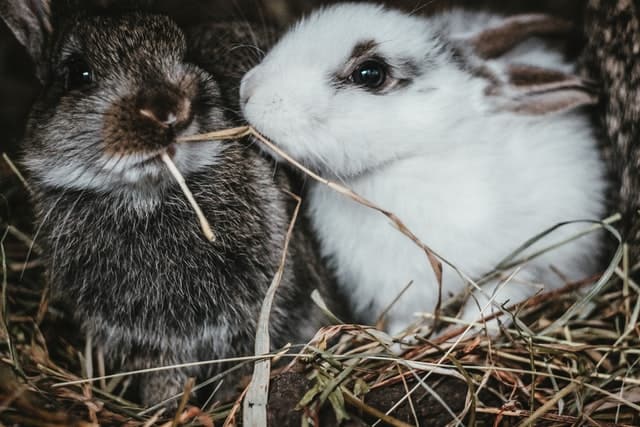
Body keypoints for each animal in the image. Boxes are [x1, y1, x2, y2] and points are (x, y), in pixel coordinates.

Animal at [0, 0, 342, 407]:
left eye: (183, 52)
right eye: (77, 73)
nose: (169, 111)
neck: (146, 198)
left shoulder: (258, 315)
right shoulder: (153, 344)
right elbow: (164, 379)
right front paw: (162, 409)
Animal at [239, 3, 609, 336]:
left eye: (370, 73)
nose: (248, 90)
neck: (416, 152)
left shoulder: (537, 259)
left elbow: (502, 291)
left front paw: (468, 327)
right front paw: (400, 340)